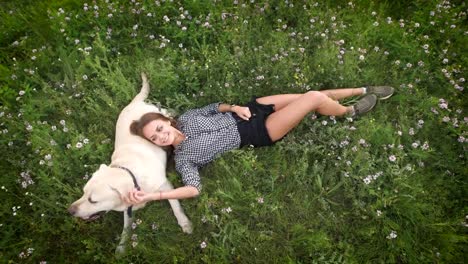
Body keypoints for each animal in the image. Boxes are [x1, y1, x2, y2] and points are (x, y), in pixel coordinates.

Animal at [67, 72, 192, 254]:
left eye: (93, 200)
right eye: (83, 193)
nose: (69, 210)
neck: (131, 174)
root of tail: (134, 103)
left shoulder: (165, 185)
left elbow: (176, 206)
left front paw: (185, 224)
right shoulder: (128, 208)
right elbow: (126, 228)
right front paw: (121, 247)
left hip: (158, 111)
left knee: (167, 113)